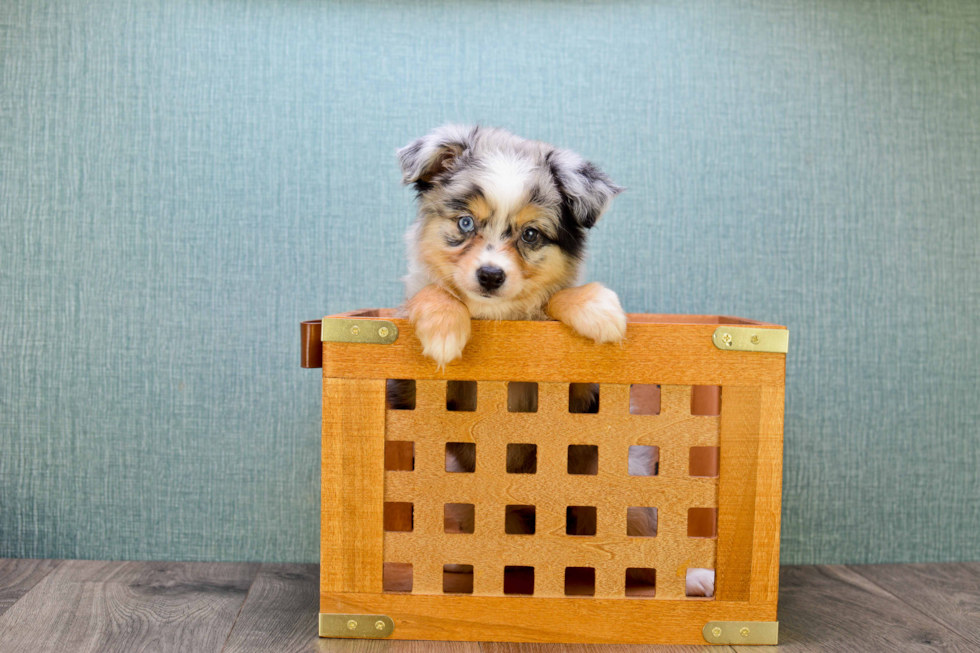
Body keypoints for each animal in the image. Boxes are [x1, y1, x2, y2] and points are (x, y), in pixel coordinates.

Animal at [388, 125, 712, 600]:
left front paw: (596, 308)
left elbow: (554, 300)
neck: (499, 318)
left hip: (623, 486)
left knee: (642, 548)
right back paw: (460, 563)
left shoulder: (581, 397)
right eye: (465, 223)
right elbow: (431, 293)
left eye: (531, 235)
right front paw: (444, 326)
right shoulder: (420, 392)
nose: (490, 276)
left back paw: (692, 577)